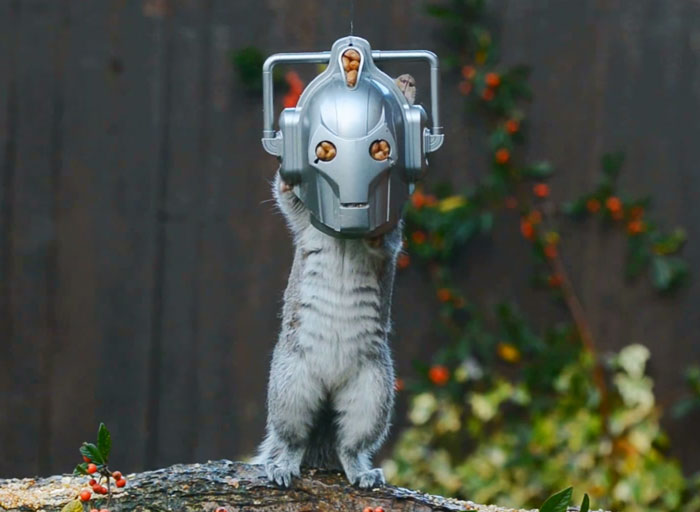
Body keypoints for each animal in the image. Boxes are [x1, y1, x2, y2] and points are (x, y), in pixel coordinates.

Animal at [253, 74, 417, 489]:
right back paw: (283, 466)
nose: (407, 80)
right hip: (291, 386)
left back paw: (362, 471)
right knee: (292, 439)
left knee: (350, 444)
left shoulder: (394, 236)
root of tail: (330, 386)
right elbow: (287, 197)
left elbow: (387, 242)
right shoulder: (302, 219)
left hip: (372, 392)